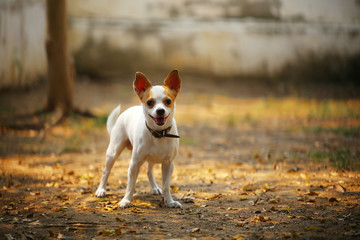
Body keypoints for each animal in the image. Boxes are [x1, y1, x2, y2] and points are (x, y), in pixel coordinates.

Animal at [95, 69, 181, 208]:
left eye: (168, 101)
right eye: (150, 102)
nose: (160, 110)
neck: (159, 134)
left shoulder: (168, 165)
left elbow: (166, 186)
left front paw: (170, 201)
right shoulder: (134, 164)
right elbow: (130, 186)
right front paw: (126, 200)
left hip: (151, 159)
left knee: (149, 171)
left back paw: (154, 187)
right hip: (113, 152)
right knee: (106, 171)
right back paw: (101, 190)